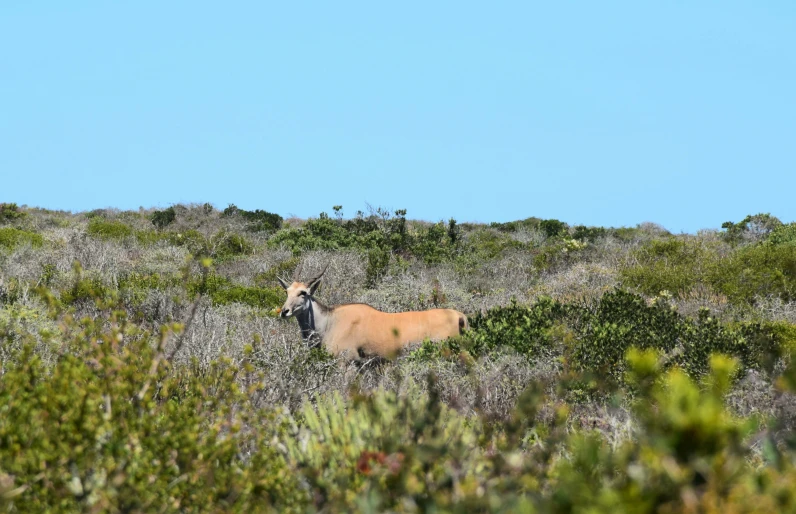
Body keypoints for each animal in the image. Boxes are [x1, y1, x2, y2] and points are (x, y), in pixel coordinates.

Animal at [278, 262, 470, 358]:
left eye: (303, 293)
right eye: (287, 291)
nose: (284, 311)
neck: (330, 322)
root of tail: (459, 316)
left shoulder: (347, 361)